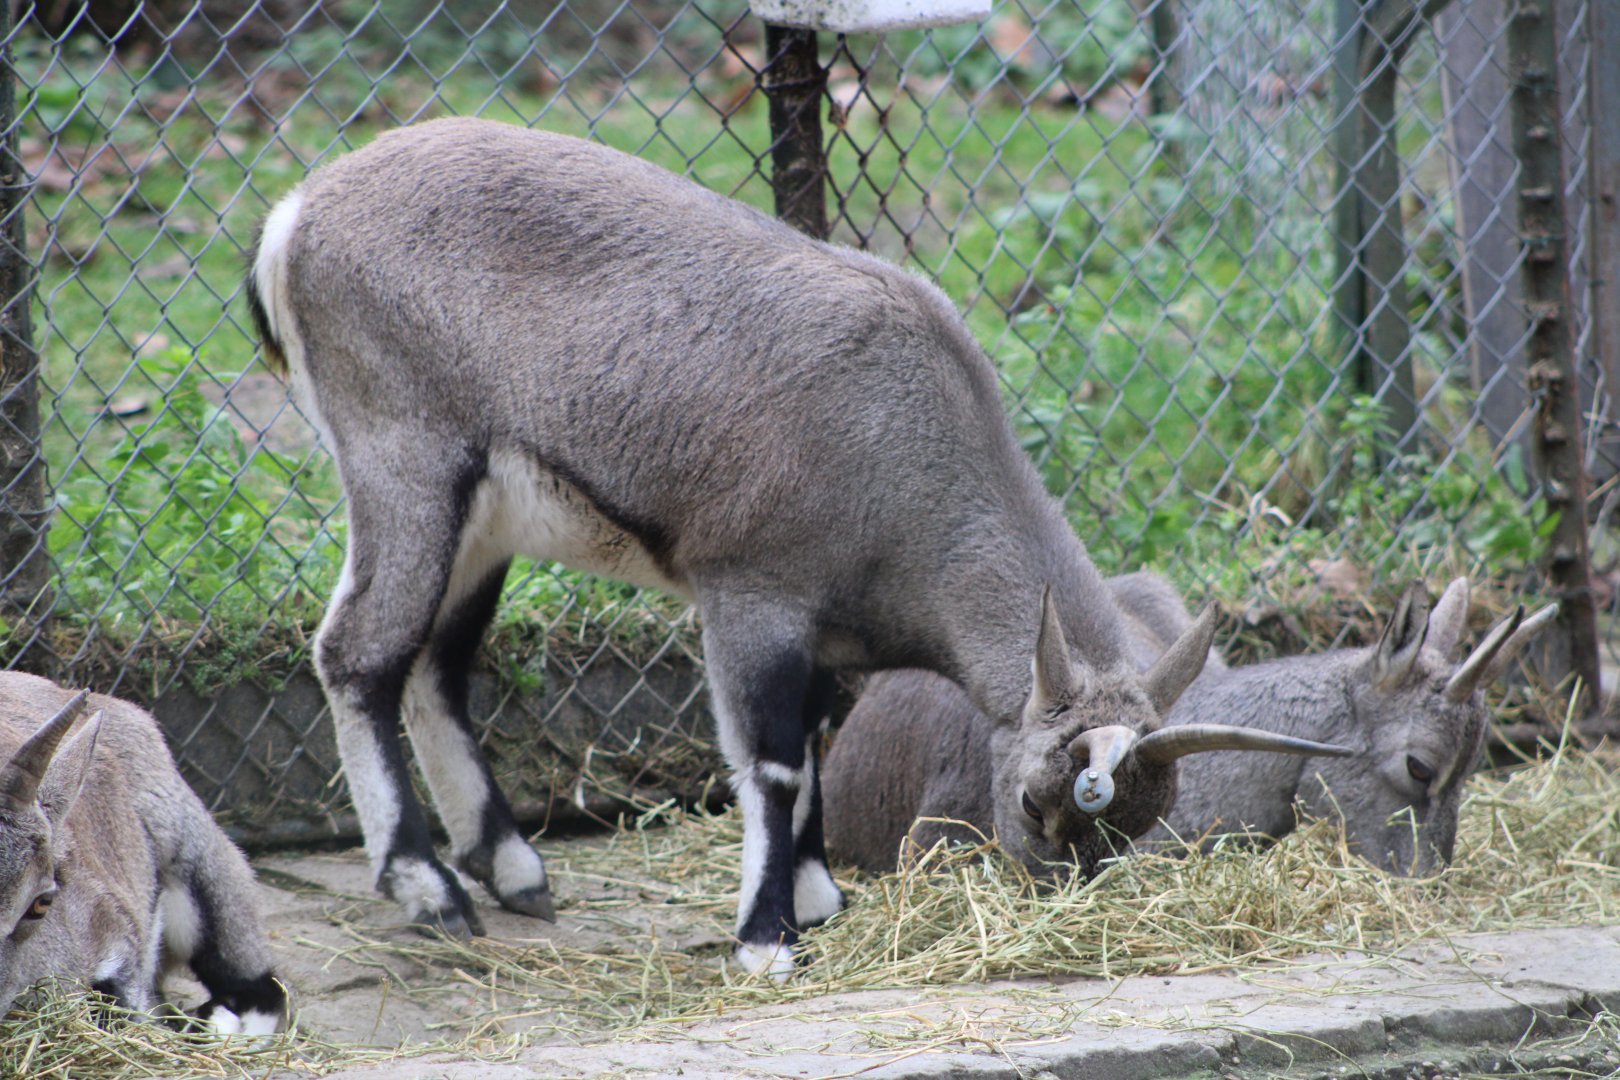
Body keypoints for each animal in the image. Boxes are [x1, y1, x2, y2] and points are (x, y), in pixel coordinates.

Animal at [247, 117, 1348, 975]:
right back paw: (425, 886)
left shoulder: (823, 633)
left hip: (486, 517)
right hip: (408, 462)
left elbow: (816, 742)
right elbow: (774, 762)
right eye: (1045, 804)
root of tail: (297, 214)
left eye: (1141, 823)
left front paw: (819, 897)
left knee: (438, 661)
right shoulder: (752, 595)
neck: (910, 448)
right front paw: (768, 936)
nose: (1056, 895)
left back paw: (510, 866)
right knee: (361, 652)